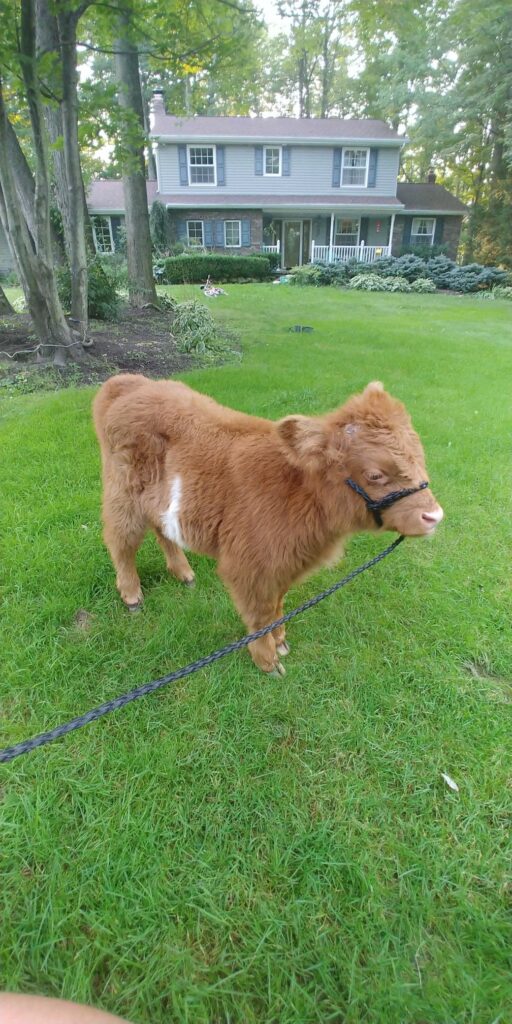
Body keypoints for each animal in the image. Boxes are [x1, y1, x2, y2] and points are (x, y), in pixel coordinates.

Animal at [93, 375, 443, 675]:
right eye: (375, 474)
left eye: (419, 456)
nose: (434, 517)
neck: (297, 491)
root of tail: (129, 383)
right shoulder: (250, 567)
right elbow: (260, 615)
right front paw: (267, 660)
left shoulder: (281, 565)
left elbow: (277, 605)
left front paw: (281, 640)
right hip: (122, 496)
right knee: (120, 541)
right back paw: (132, 594)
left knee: (161, 529)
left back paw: (183, 572)